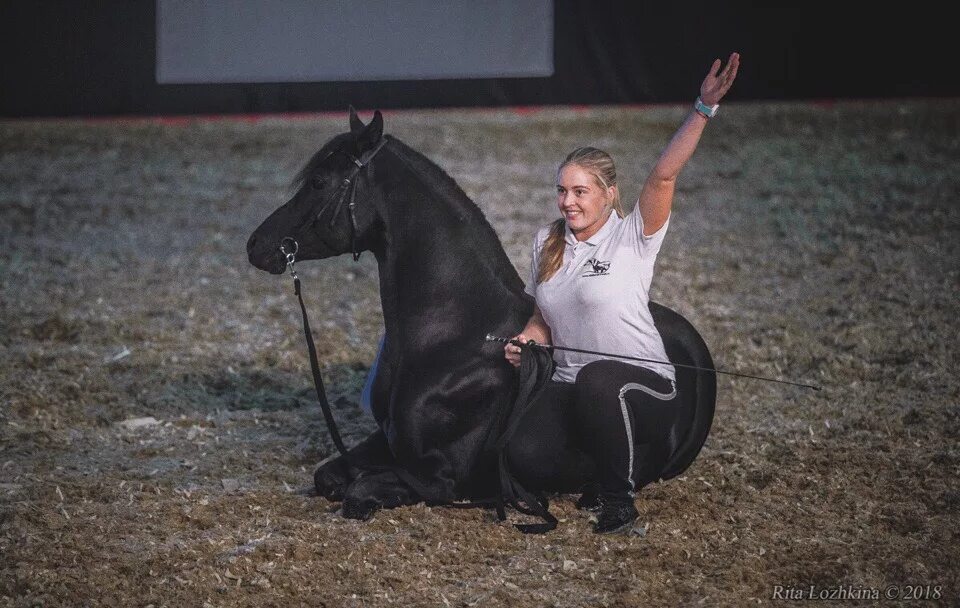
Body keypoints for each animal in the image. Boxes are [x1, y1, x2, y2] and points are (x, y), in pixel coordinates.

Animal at [246, 109, 712, 524]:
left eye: (319, 181)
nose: (257, 245)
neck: (454, 336)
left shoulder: (439, 478)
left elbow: (358, 493)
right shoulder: (388, 440)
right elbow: (327, 476)